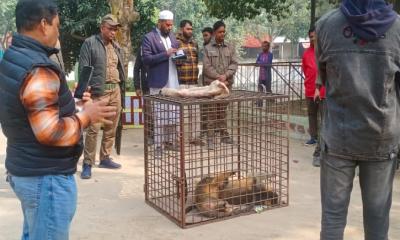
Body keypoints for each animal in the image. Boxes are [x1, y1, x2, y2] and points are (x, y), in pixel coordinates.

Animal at [142, 90, 290, 229]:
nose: (276, 198)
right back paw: (230, 177)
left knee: (221, 193)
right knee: (219, 179)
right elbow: (259, 176)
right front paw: (270, 175)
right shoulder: (255, 181)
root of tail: (199, 204)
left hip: (216, 195)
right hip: (212, 185)